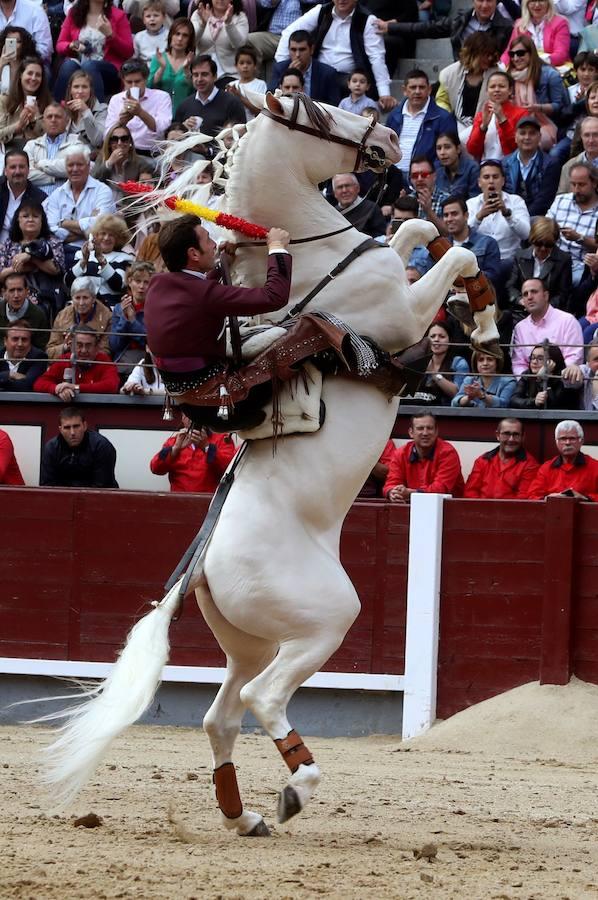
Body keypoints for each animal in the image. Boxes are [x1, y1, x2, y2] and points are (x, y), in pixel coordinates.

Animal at [42, 93, 500, 836]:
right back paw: (296, 788)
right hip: (325, 621)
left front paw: (476, 302)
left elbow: (419, 227)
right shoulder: (403, 311)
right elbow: (448, 246)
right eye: (321, 110)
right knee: (262, 698)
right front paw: (482, 316)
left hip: (251, 638)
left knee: (220, 714)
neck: (316, 258)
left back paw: (245, 816)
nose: (389, 135)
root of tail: (199, 568)